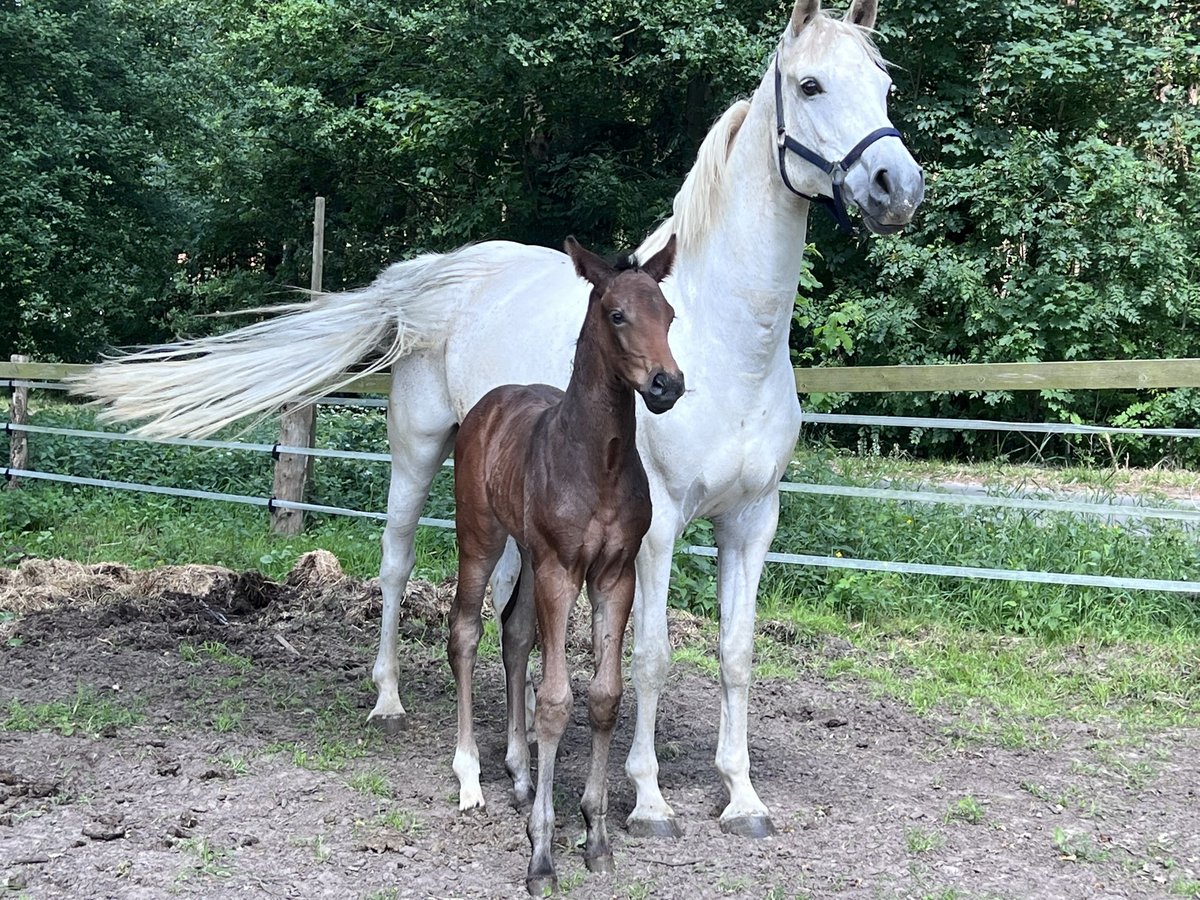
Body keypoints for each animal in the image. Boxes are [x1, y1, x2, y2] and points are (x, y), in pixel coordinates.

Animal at [448, 234, 681, 897]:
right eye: (617, 315)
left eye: (669, 315)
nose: (668, 384)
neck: (598, 462)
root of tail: (490, 403)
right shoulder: (560, 569)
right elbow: (554, 702)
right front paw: (542, 855)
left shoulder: (613, 575)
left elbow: (604, 695)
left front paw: (596, 838)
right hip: (481, 538)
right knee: (466, 631)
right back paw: (469, 776)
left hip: (529, 555)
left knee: (515, 632)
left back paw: (521, 777)